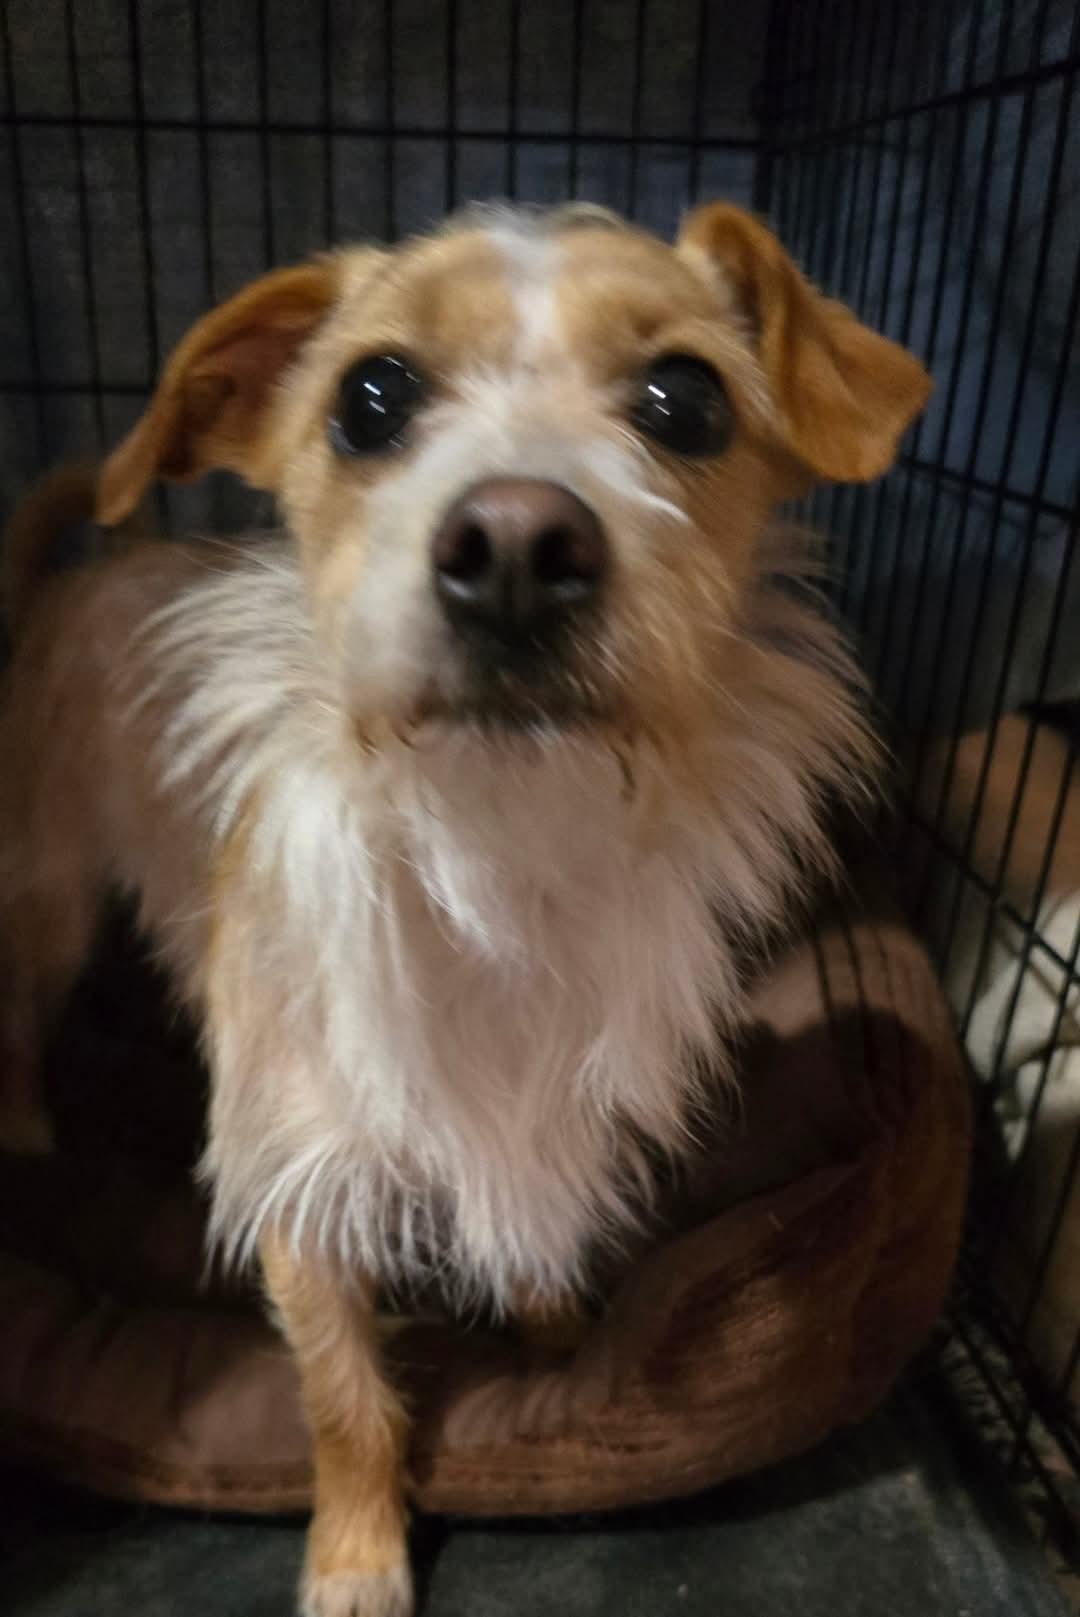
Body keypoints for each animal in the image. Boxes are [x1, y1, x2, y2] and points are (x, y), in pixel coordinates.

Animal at [0, 201, 930, 1616]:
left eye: (689, 398)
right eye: (370, 397)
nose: (516, 543)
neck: (498, 829)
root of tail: (99, 559)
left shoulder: (557, 1114)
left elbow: (538, 1232)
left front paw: (559, 1337)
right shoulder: (302, 1177)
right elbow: (346, 1404)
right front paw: (358, 1556)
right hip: (47, 905)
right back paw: (27, 1129)